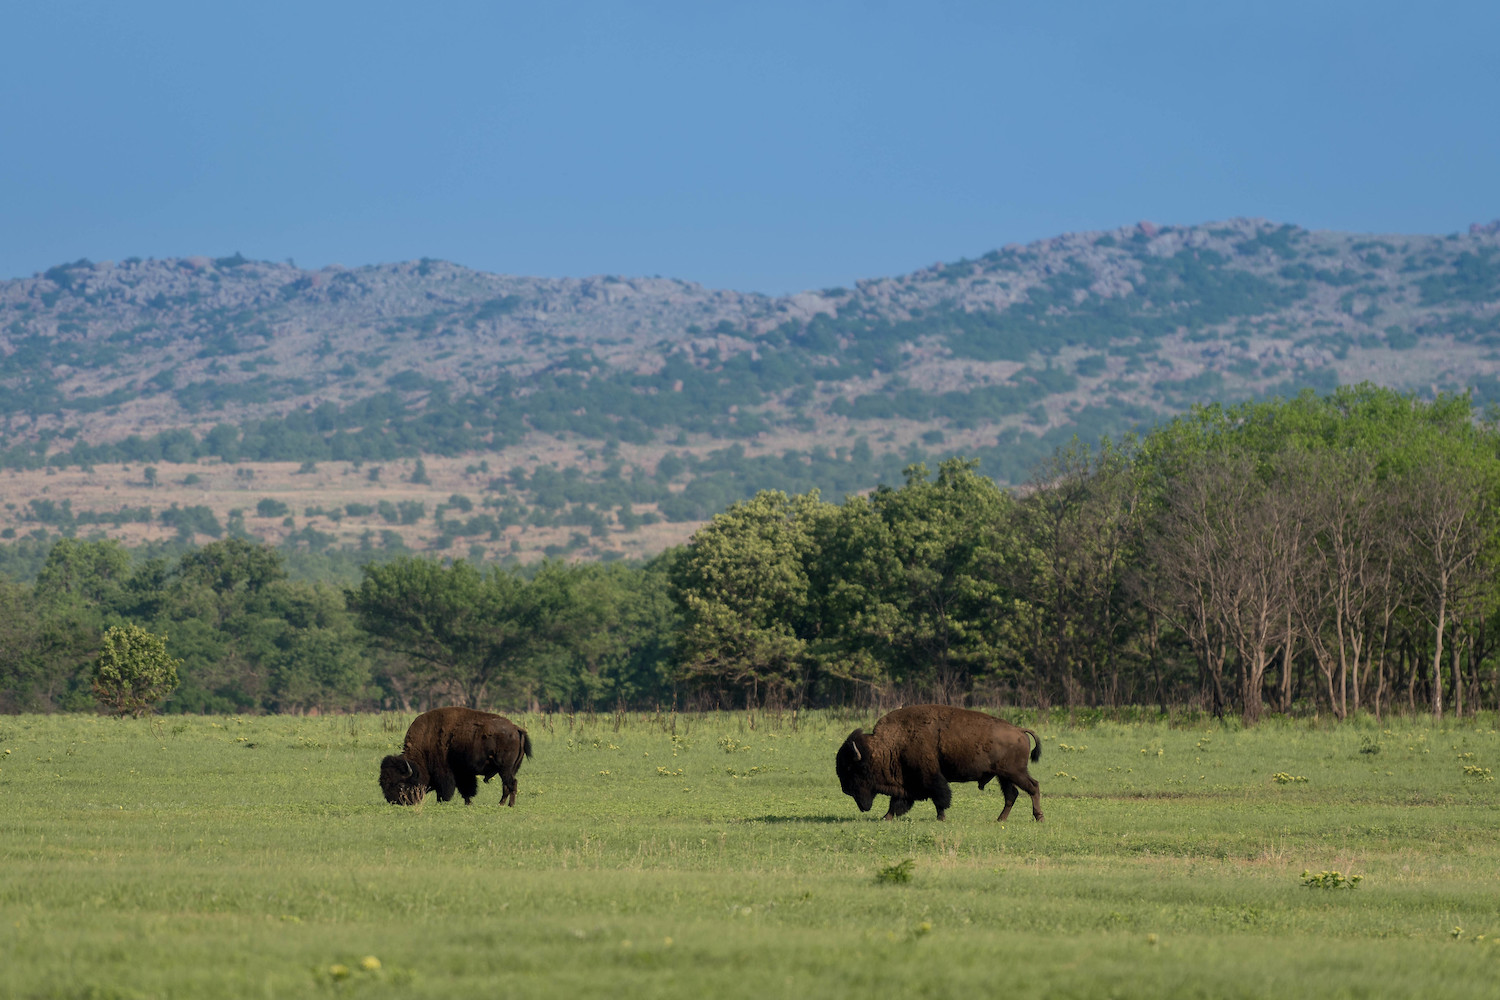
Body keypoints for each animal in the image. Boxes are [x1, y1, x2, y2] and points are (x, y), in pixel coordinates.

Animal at [381, 707, 534, 809]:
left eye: (400, 785)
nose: (392, 801)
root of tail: (516, 729)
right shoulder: (463, 773)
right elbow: (466, 790)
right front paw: (468, 803)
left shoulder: (446, 773)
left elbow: (449, 789)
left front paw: (443, 802)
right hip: (508, 770)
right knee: (507, 785)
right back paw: (502, 804)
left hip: (505, 769)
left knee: (511, 784)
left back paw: (508, 805)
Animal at [834, 704, 1044, 821]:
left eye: (855, 769)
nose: (846, 790)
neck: (889, 744)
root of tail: (1019, 730)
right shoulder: (906, 783)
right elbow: (896, 802)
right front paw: (886, 817)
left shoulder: (929, 777)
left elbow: (940, 797)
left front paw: (941, 818)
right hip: (1004, 775)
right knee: (1012, 795)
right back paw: (1000, 820)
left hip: (1015, 772)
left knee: (1033, 787)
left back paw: (1038, 817)